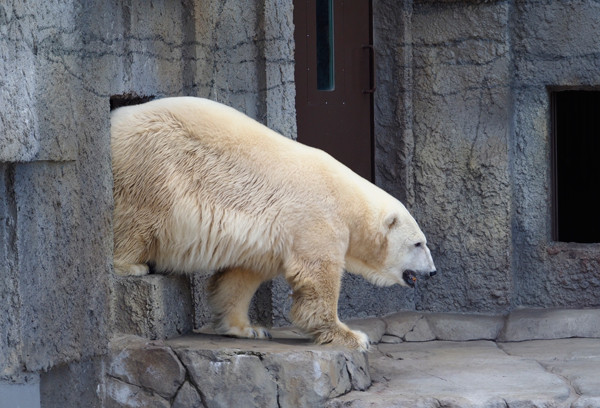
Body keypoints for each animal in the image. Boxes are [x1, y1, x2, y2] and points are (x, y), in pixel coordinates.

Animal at [110, 98, 436, 350]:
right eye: (418, 243)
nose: (432, 272)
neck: (350, 203)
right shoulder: (317, 218)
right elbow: (319, 277)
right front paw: (352, 336)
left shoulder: (264, 238)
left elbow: (240, 277)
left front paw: (247, 328)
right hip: (153, 166)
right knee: (136, 218)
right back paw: (131, 265)